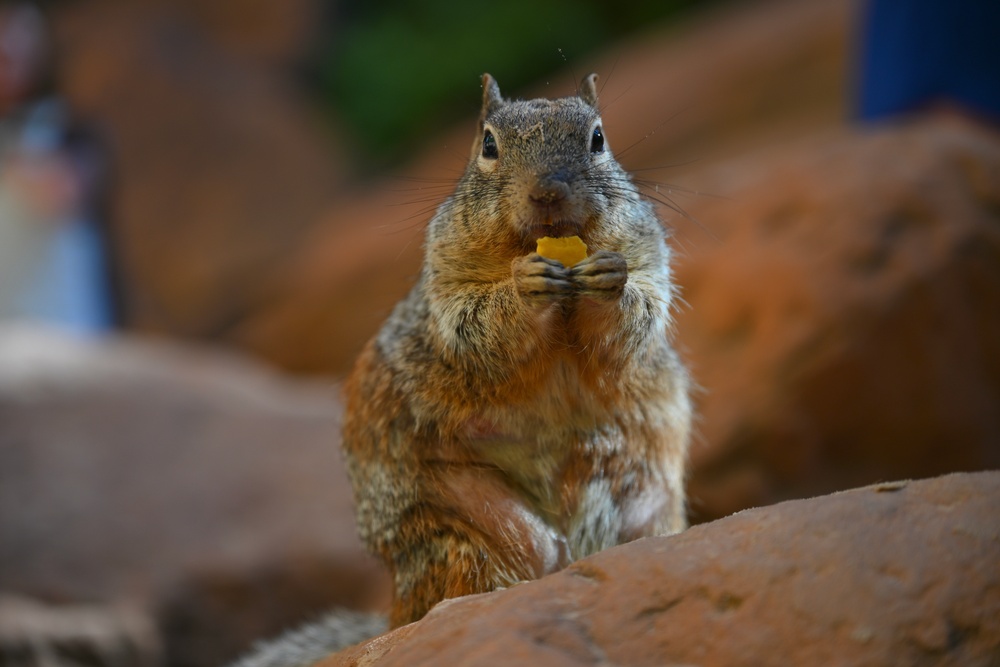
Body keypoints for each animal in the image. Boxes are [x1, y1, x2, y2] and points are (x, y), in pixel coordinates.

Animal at [231, 73, 692, 667]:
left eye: (598, 138)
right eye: (488, 145)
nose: (547, 192)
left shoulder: (649, 256)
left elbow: (639, 315)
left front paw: (610, 278)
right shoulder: (447, 281)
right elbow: (472, 325)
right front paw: (524, 285)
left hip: (645, 502)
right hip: (455, 524)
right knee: (496, 570)